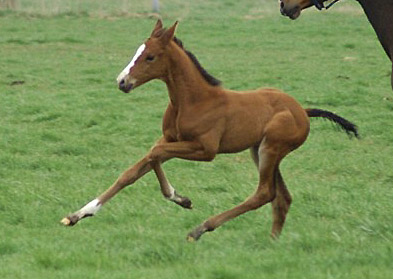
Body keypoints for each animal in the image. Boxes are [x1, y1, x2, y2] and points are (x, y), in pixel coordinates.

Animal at [61, 20, 358, 243]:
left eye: (150, 56)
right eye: (137, 51)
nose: (122, 82)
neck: (192, 100)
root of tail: (302, 111)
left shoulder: (205, 150)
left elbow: (154, 154)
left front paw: (178, 198)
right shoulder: (171, 139)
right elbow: (134, 169)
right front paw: (79, 214)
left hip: (271, 147)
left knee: (264, 193)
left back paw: (201, 229)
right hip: (259, 150)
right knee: (281, 197)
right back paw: (273, 241)